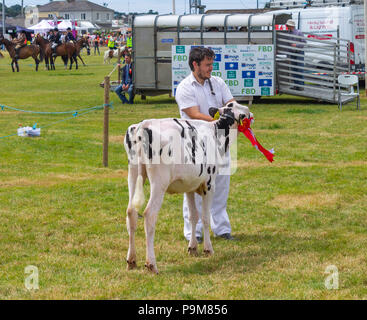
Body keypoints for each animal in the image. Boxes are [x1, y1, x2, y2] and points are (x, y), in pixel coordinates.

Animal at [125, 101, 252, 274]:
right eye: (246, 112)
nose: (252, 115)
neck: (215, 133)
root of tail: (144, 125)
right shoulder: (209, 185)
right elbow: (205, 217)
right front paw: (208, 249)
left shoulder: (189, 186)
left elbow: (193, 216)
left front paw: (192, 248)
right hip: (159, 182)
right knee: (149, 214)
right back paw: (151, 264)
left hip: (133, 174)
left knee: (131, 212)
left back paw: (131, 260)